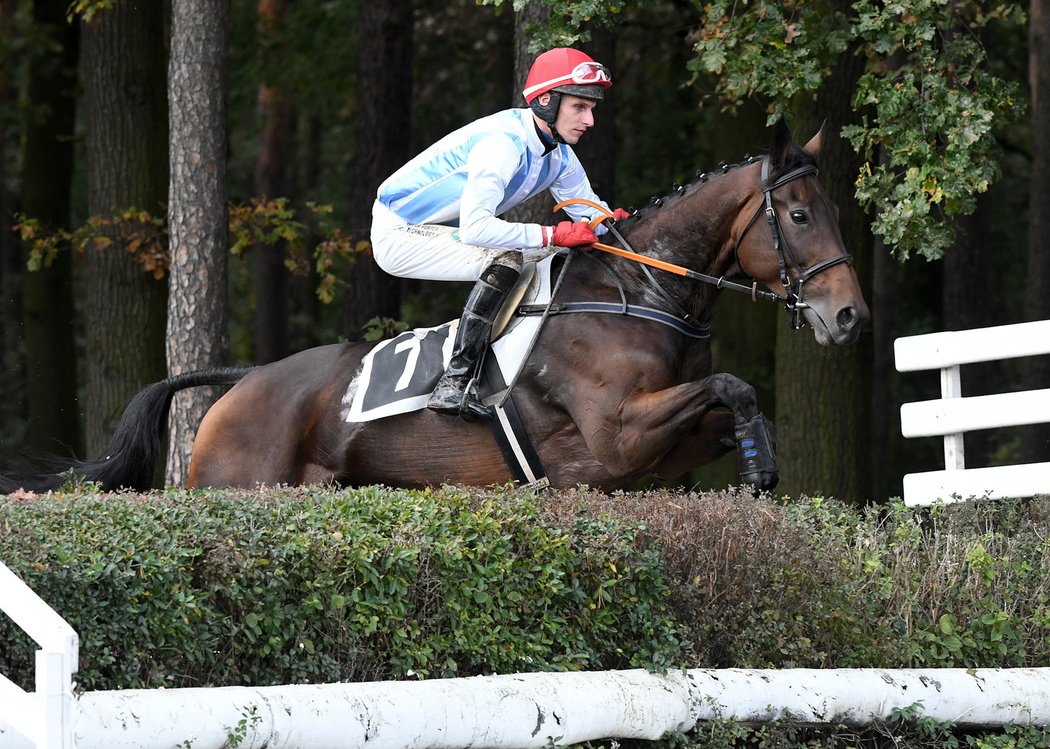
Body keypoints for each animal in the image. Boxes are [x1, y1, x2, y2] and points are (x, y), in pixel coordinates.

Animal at [0, 121, 865, 493]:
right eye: (798, 215)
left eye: (833, 211)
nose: (849, 317)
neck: (642, 296)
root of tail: (241, 384)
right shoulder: (615, 436)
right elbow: (734, 385)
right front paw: (762, 464)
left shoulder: (656, 450)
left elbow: (733, 403)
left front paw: (758, 459)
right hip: (236, 486)